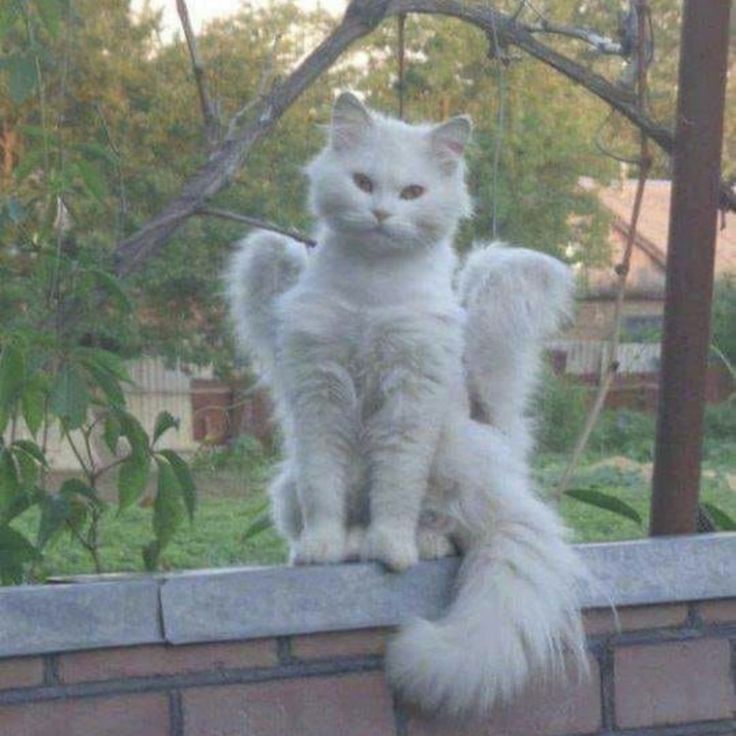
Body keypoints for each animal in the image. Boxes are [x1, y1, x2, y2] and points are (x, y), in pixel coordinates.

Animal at [227, 93, 588, 720]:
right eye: (363, 182)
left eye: (413, 192)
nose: (380, 214)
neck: (370, 293)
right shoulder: (320, 396)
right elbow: (327, 491)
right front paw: (322, 549)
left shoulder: (408, 399)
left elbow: (395, 490)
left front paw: (391, 551)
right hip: (289, 482)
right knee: (334, 508)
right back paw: (345, 544)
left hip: (459, 452)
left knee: (450, 524)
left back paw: (419, 543)